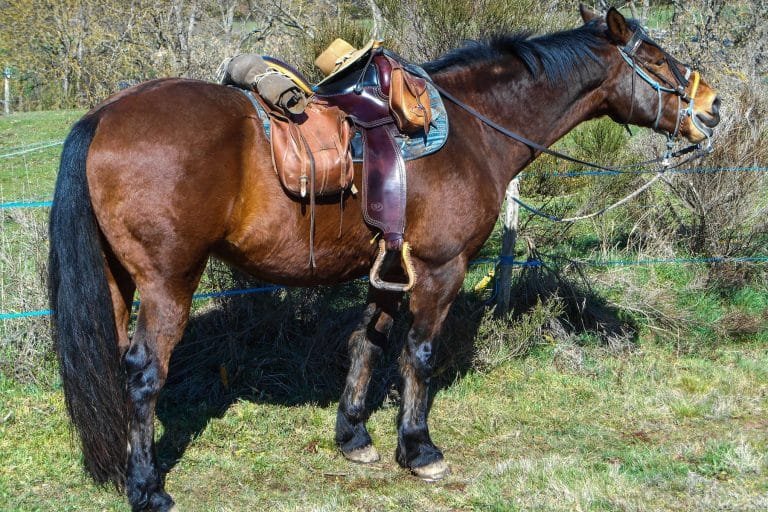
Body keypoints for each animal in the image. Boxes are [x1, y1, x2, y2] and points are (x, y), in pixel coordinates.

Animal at [48, 6, 720, 511]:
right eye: (655, 59)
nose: (711, 108)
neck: (474, 131)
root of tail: (104, 115)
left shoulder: (389, 269)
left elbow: (366, 346)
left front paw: (353, 436)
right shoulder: (441, 268)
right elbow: (418, 355)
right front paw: (418, 449)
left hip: (118, 282)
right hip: (168, 283)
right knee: (143, 374)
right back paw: (146, 488)